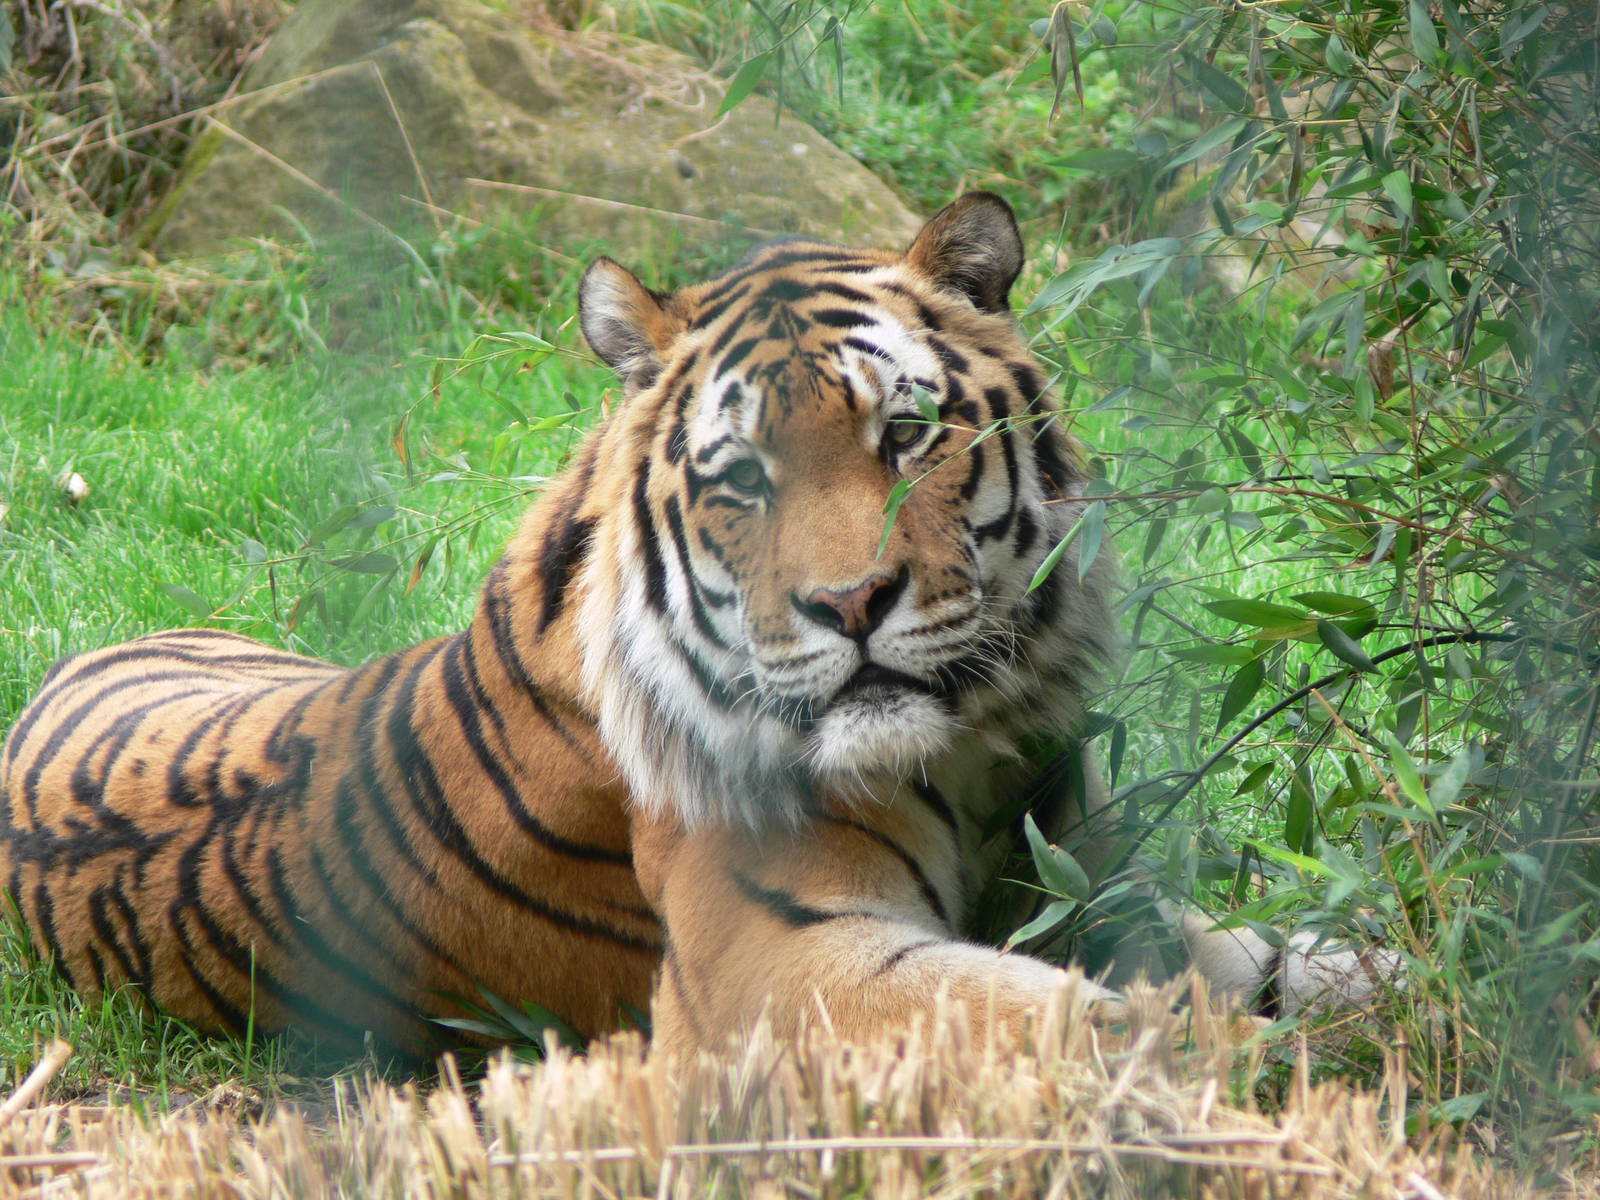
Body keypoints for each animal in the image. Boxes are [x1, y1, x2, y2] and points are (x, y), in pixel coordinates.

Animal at [0, 195, 1391, 1060]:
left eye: (905, 432)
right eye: (742, 480)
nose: (852, 603)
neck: (977, 746)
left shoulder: (1099, 882)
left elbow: (1279, 954)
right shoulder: (784, 966)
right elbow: (1092, 1019)